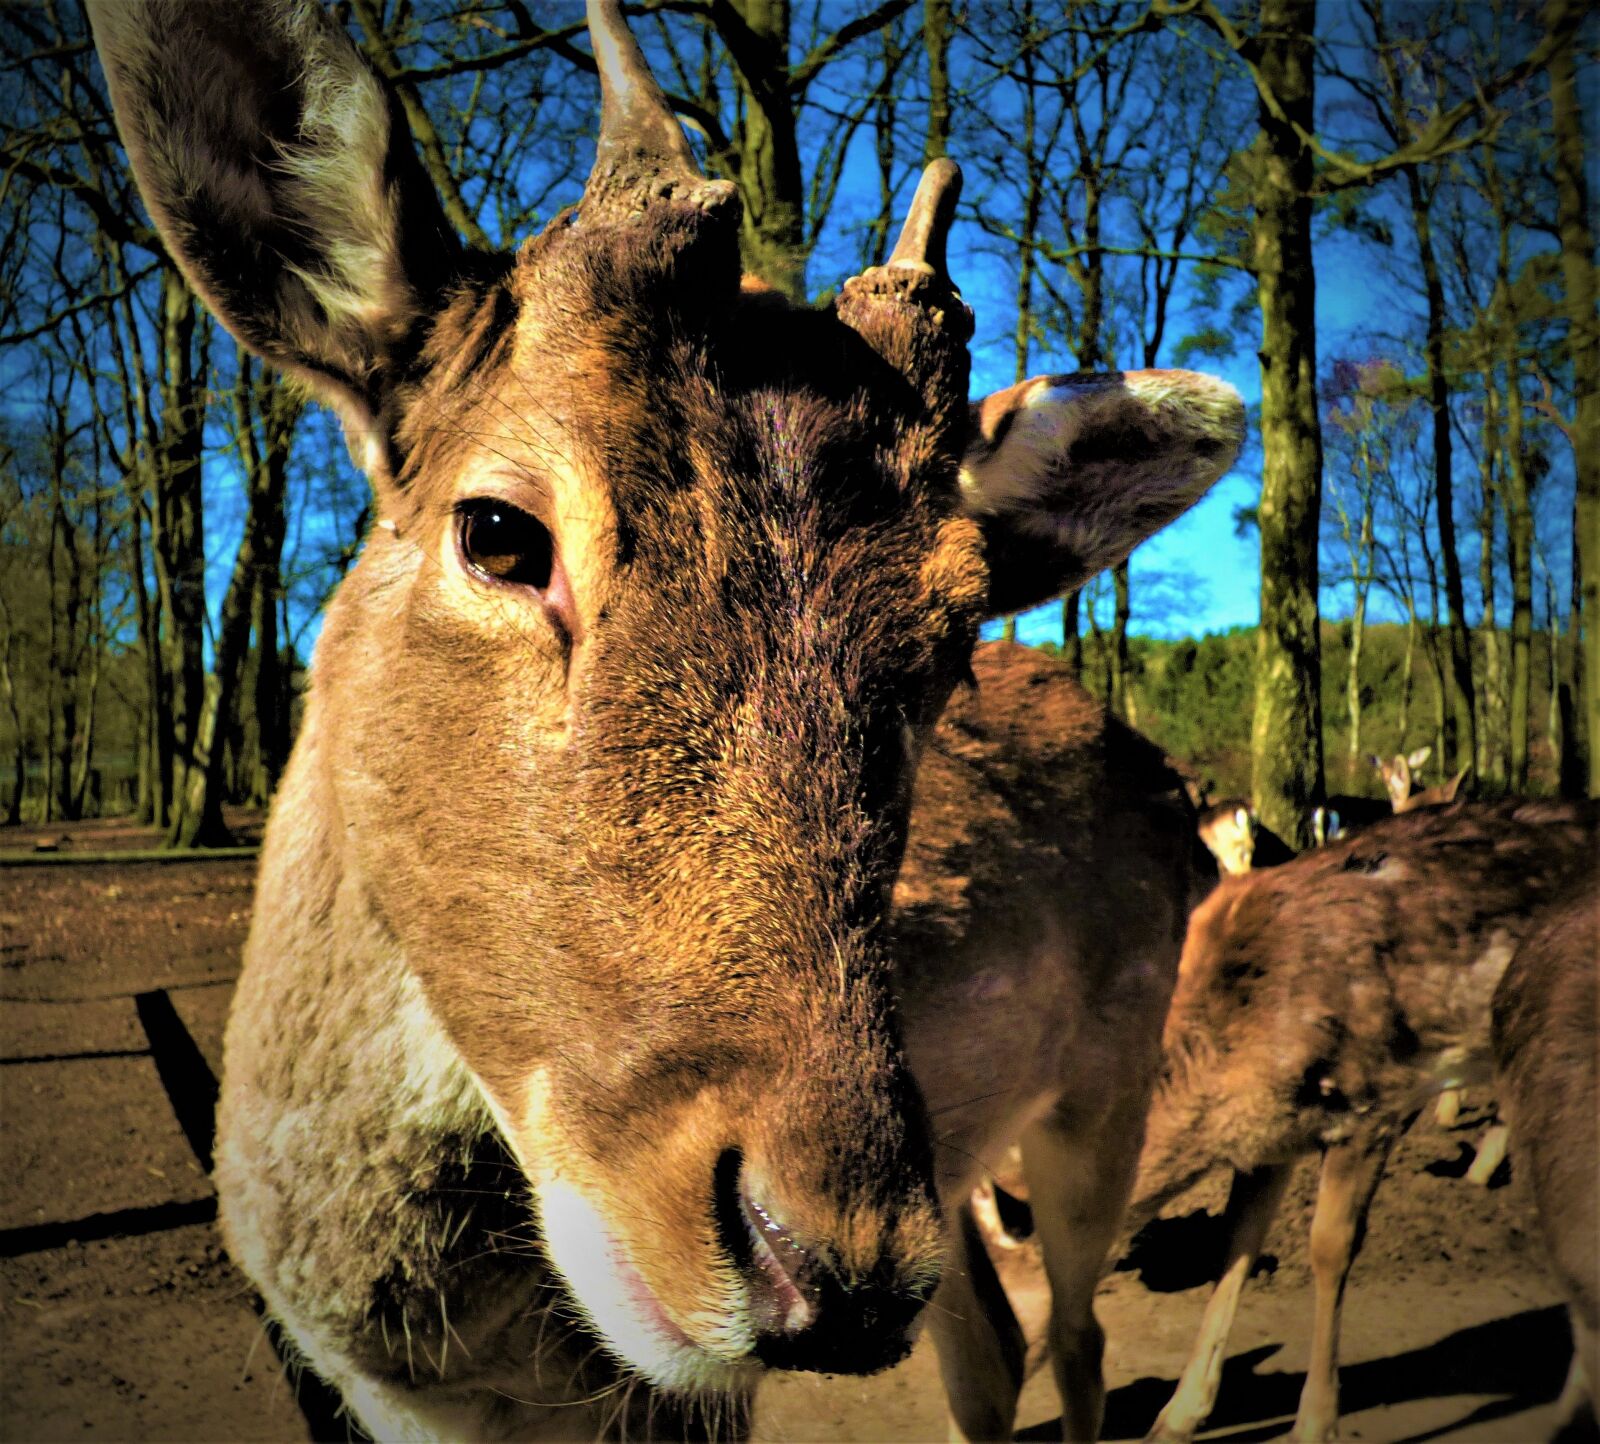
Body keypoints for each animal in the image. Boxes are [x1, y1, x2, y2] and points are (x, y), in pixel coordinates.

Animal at [89, 1, 1244, 1438]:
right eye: (497, 530)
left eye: (952, 629)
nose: (832, 1272)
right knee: (989, 1338)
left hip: (1108, 1087)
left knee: (1076, 1332)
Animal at [1127, 798, 1597, 1444]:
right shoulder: (1273, 1137)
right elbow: (1234, 1244)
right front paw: (1177, 1416)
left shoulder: (1372, 1101)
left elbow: (1330, 1246)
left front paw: (1315, 1422)